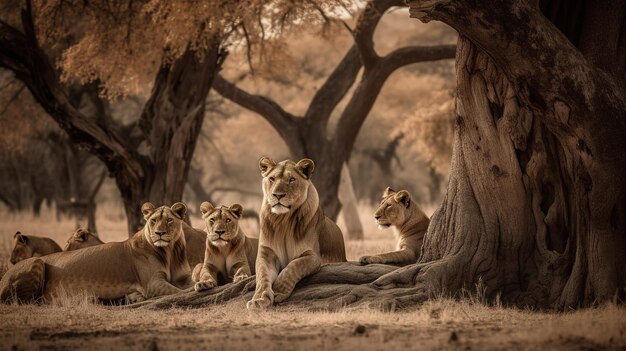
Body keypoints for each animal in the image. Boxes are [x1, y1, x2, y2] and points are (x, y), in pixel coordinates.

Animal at [0, 204, 191, 306]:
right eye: (153, 220)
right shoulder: (153, 284)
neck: (170, 253)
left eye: (169, 220)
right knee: (27, 301)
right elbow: (178, 291)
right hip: (37, 262)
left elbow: (188, 283)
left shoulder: (182, 277)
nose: (159, 233)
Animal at [246, 158, 346, 310]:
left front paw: (279, 291)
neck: (282, 221)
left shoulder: (312, 255)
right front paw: (259, 299)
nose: (278, 195)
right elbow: (262, 276)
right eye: (272, 178)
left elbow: (293, 267)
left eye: (292, 179)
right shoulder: (266, 254)